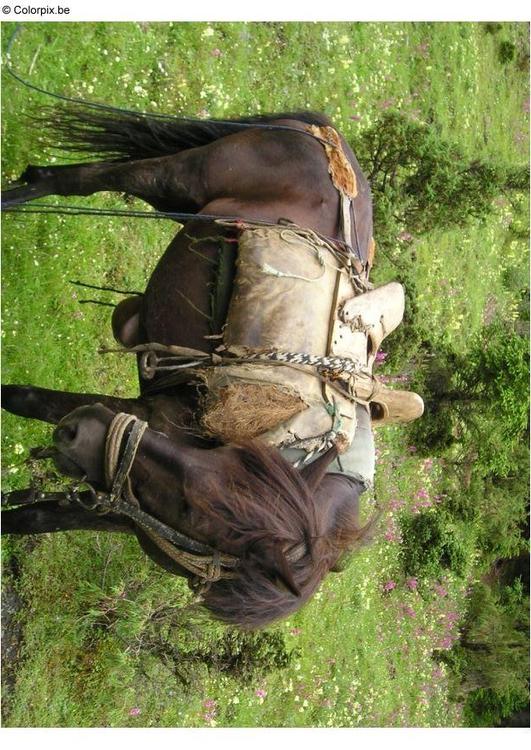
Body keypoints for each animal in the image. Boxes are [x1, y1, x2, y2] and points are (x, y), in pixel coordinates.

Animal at [0, 107, 400, 628]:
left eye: (191, 511)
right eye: (239, 459)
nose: (76, 432)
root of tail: (335, 148)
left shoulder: (118, 488)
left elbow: (32, 519)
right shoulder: (138, 419)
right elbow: (22, 398)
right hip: (182, 178)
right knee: (80, 182)